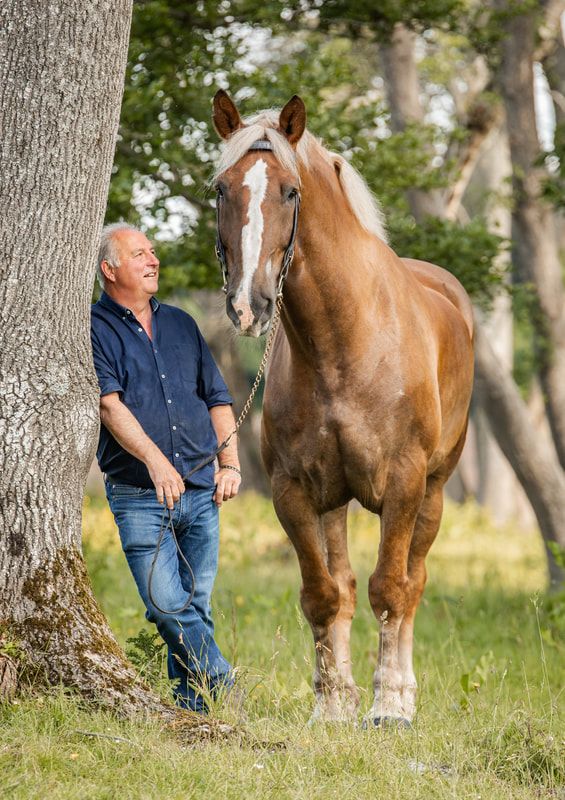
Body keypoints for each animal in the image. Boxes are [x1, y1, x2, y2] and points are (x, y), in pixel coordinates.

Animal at [212, 90, 474, 727]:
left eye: (290, 191)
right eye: (222, 189)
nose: (248, 305)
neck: (344, 341)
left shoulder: (403, 485)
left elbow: (391, 589)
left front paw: (388, 705)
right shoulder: (295, 491)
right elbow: (323, 595)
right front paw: (331, 704)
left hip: (433, 491)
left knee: (412, 582)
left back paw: (401, 691)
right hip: (335, 502)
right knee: (347, 586)